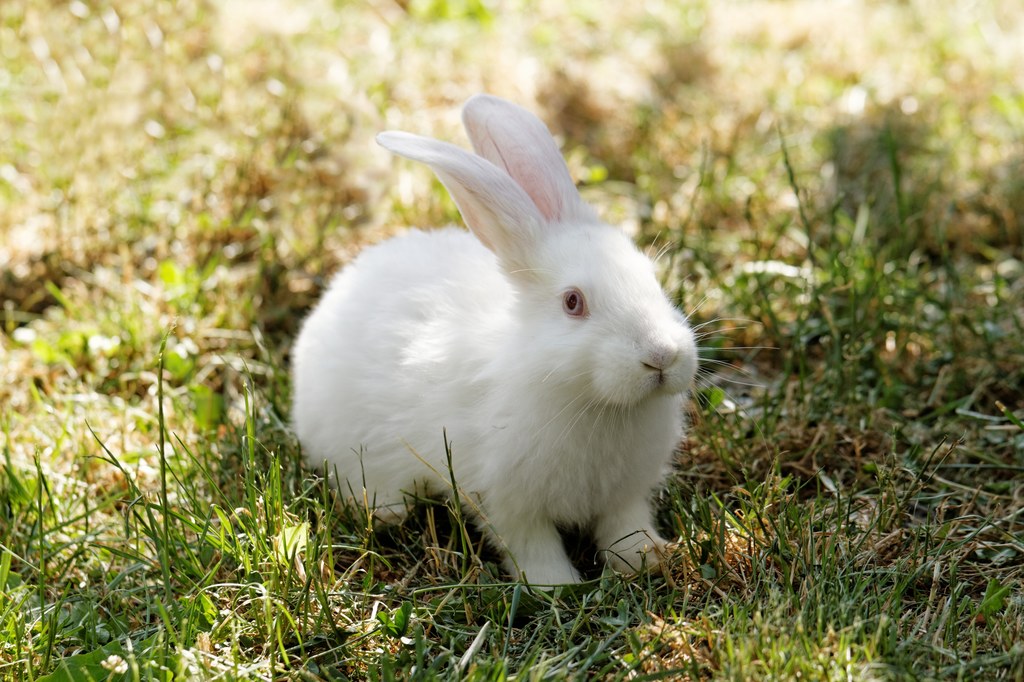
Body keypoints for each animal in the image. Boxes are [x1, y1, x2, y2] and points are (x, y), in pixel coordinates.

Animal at [292, 94, 700, 585]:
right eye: (573, 302)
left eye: (652, 277)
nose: (662, 355)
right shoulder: (506, 501)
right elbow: (531, 545)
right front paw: (556, 586)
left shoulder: (624, 496)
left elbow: (623, 527)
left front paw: (646, 559)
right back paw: (386, 511)